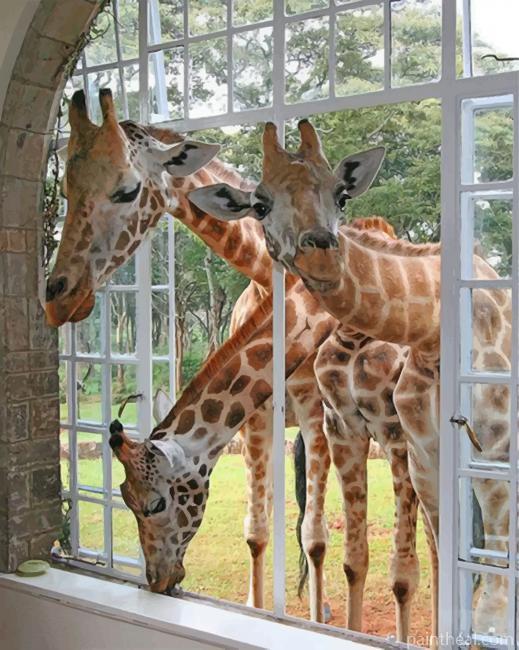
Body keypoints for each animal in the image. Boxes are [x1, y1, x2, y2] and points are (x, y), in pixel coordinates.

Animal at [189, 120, 512, 636]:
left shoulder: (454, 448)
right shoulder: (381, 440)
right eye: (260, 204)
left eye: (341, 195)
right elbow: (345, 553)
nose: (321, 251)